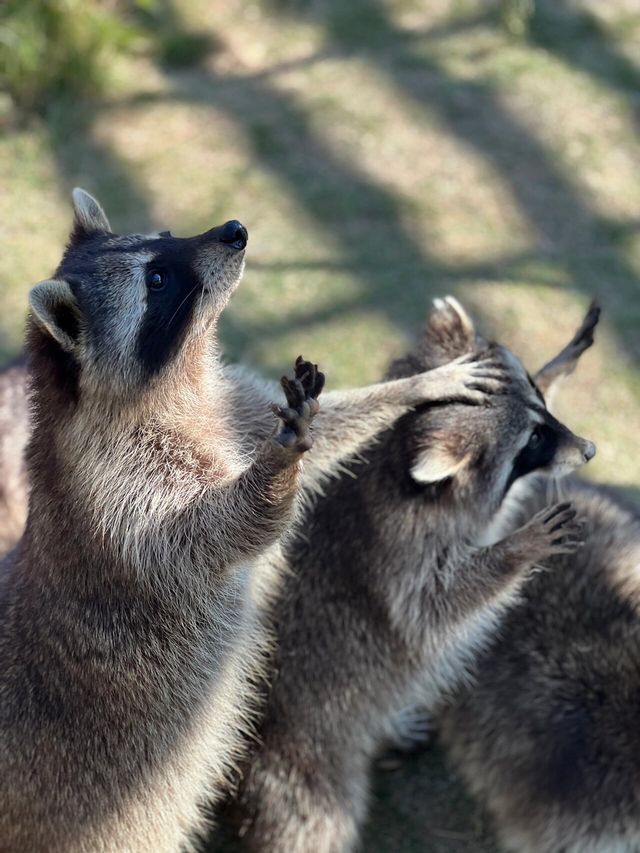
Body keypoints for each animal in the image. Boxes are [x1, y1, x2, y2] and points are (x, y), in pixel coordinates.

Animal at [0, 193, 500, 852]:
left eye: (166, 234)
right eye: (156, 280)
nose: (234, 231)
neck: (181, 381)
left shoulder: (232, 405)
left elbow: (332, 428)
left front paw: (416, 384)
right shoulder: (123, 492)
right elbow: (224, 531)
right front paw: (276, 470)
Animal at [221, 296, 596, 848]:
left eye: (541, 412)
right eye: (533, 441)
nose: (589, 450)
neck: (391, 458)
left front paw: (559, 365)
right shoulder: (396, 555)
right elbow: (434, 607)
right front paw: (516, 549)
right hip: (300, 758)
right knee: (311, 818)